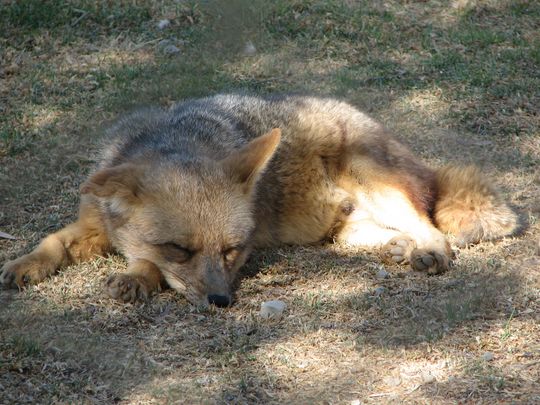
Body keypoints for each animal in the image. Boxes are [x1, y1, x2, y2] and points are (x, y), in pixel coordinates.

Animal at [0, 94, 520, 306]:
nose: (222, 301)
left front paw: (136, 278)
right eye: (180, 249)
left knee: (430, 226)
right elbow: (54, 242)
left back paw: (427, 251)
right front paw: (25, 265)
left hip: (376, 183)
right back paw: (397, 249)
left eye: (233, 252)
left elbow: (146, 265)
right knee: (388, 233)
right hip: (342, 233)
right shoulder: (94, 225)